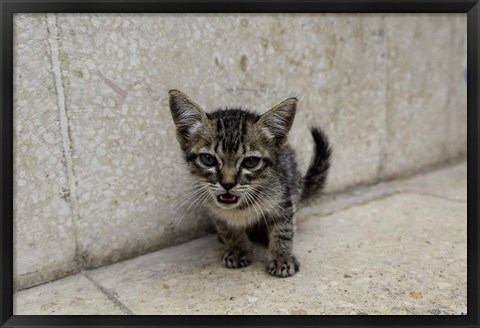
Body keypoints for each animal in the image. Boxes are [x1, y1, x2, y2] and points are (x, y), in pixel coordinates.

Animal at [168, 89, 330, 276]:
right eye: (208, 159)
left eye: (251, 162)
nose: (228, 184)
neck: (240, 208)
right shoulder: (215, 209)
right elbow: (228, 228)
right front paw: (237, 248)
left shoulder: (282, 198)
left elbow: (283, 228)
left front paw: (282, 257)